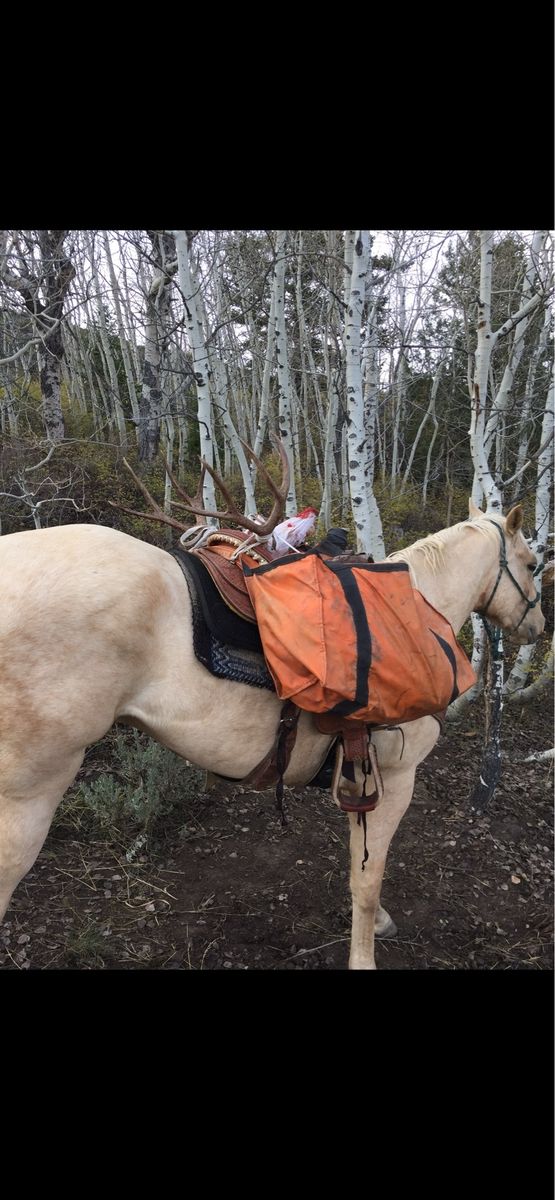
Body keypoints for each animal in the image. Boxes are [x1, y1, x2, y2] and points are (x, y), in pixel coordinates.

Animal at [0, 453, 546, 968]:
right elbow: (367, 880)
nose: (538, 626)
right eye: (532, 565)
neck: (420, 609)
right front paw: (364, 953)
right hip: (26, 801)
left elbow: (358, 863)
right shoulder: (396, 775)